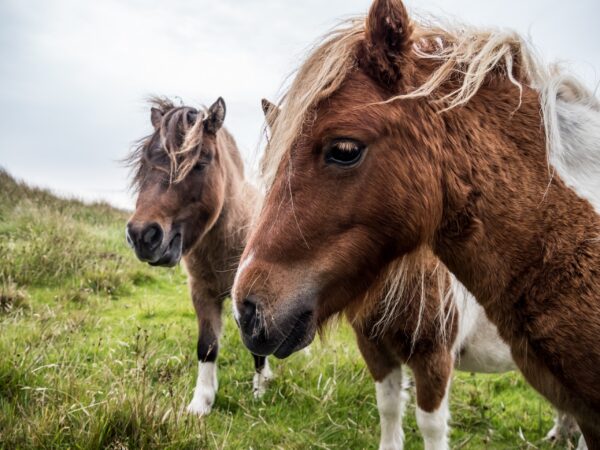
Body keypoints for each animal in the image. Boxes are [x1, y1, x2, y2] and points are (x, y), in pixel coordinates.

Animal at [126, 97, 272, 414]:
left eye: (200, 163)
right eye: (145, 162)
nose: (142, 235)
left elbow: (257, 345)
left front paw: (259, 391)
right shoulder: (202, 293)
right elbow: (207, 345)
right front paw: (201, 402)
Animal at [233, 0, 600, 446]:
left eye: (344, 149)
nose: (247, 310)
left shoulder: (434, 358)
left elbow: (430, 423)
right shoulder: (375, 349)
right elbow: (389, 408)